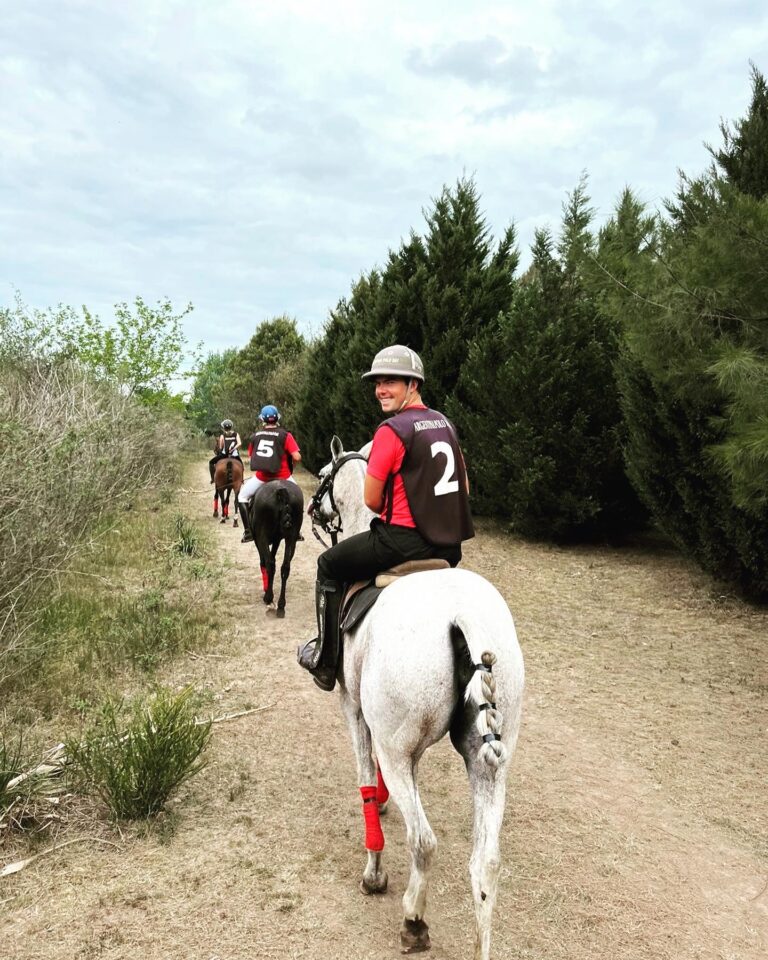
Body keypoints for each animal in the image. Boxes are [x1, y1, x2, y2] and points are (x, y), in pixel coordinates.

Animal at [247, 479, 304, 618]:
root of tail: (281, 490)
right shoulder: (277, 540)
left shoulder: (259, 540)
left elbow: (264, 562)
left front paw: (267, 590)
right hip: (291, 538)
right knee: (285, 567)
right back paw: (281, 606)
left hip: (262, 537)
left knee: (269, 564)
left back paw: (269, 597)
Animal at [308, 436, 524, 960]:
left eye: (323, 474)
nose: (311, 509)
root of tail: (462, 614)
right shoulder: (406, 744)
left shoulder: (356, 712)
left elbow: (367, 782)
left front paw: (373, 872)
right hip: (489, 761)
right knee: (486, 862)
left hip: (397, 746)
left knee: (424, 842)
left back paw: (413, 920)